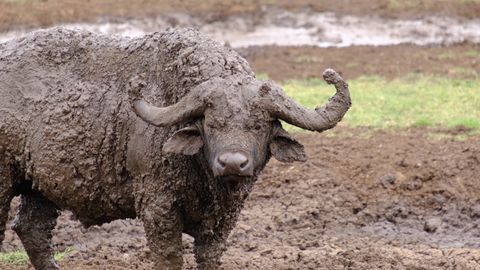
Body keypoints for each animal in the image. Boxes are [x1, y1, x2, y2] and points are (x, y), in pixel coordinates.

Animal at [0, 26, 352, 268]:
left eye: (258, 125)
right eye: (211, 124)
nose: (232, 163)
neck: (206, 180)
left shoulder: (224, 219)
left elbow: (209, 256)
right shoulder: (158, 207)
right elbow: (170, 257)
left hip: (41, 185)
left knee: (32, 230)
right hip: (5, 179)